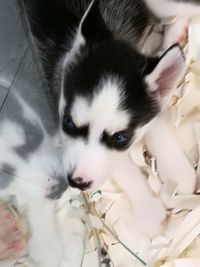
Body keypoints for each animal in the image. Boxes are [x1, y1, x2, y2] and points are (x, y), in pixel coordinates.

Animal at [22, 0, 198, 238]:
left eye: (120, 138)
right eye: (67, 122)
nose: (76, 182)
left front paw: (179, 174)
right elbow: (122, 168)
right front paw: (150, 208)